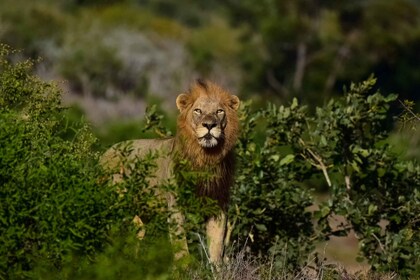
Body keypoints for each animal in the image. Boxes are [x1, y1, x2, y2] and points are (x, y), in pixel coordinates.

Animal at [99, 80, 241, 264]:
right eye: (198, 110)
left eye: (219, 111)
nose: (209, 125)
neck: (206, 158)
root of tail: (104, 153)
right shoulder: (175, 206)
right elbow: (181, 246)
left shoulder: (218, 206)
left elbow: (217, 246)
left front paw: (217, 268)